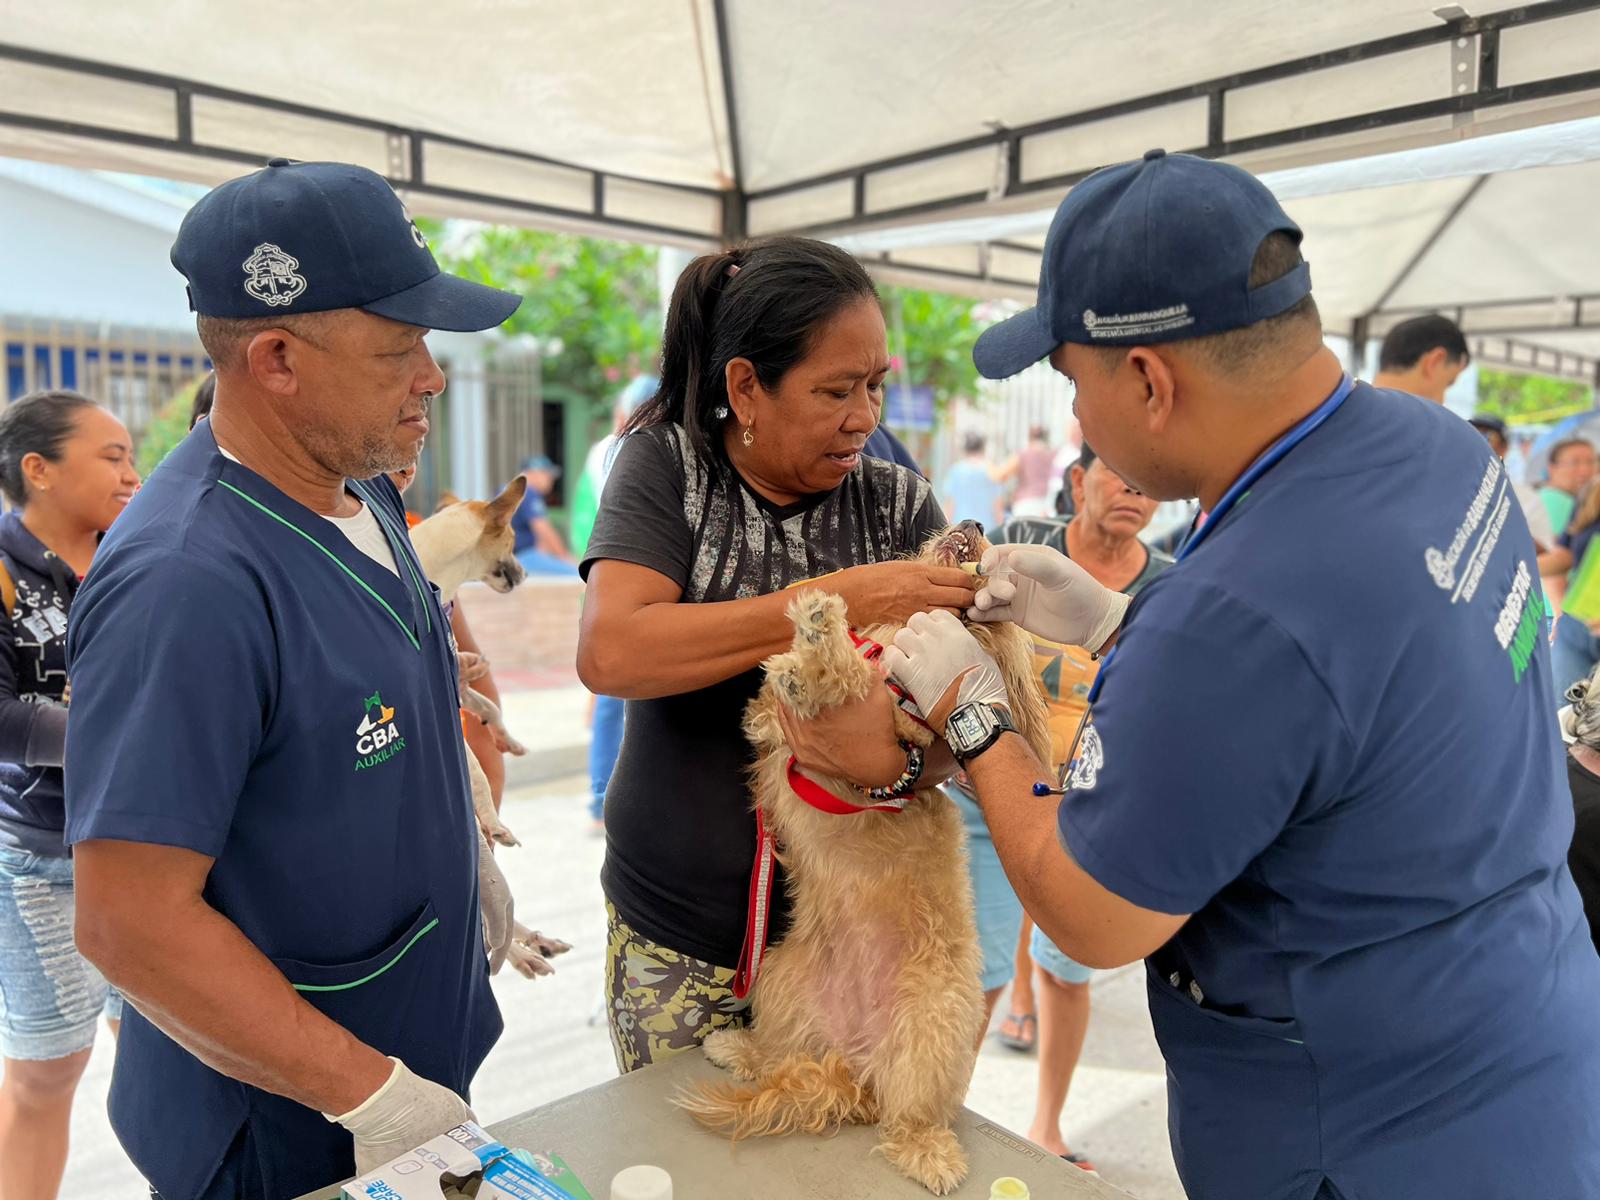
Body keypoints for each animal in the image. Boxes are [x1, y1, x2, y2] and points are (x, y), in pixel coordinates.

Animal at [672, 521, 1049, 1196]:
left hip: (935, 1023)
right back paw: (741, 1050)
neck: (893, 637)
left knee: (908, 1116)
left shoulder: (909, 728)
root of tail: (853, 1065)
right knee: (781, 1054)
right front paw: (811, 643)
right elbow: (771, 703)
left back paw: (930, 1154)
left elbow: (879, 703)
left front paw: (826, 659)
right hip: (779, 976)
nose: (978, 524)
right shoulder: (773, 723)